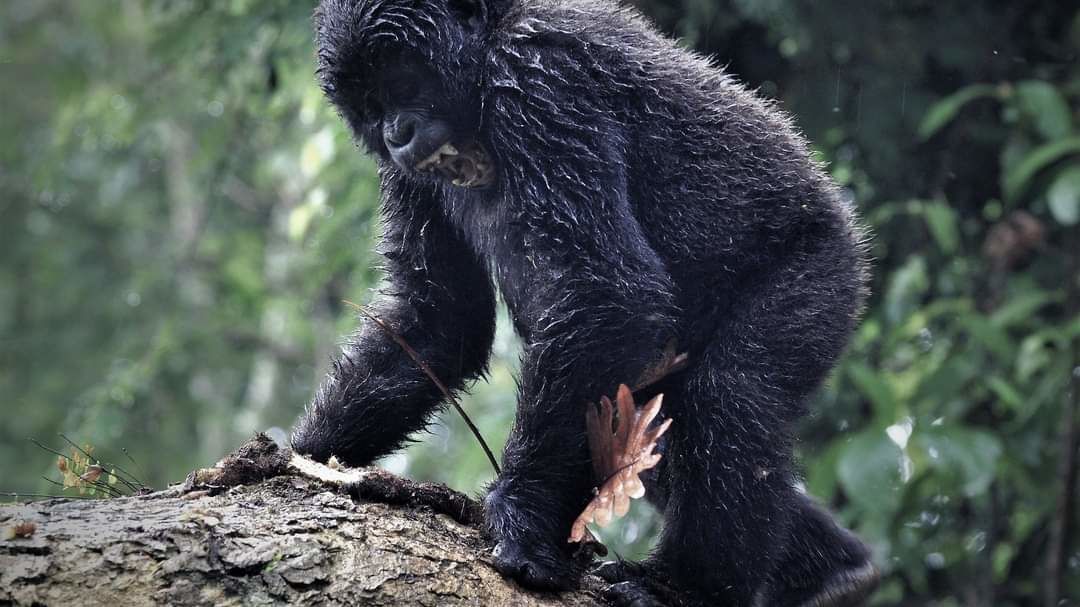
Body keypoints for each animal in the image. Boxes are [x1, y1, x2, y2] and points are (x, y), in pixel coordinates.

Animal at [293, 1, 876, 600]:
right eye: (370, 107)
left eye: (401, 82)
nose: (396, 131)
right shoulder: (407, 176)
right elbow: (441, 320)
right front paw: (307, 456)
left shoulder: (540, 87)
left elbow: (608, 290)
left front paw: (522, 518)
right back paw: (833, 569)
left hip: (820, 274)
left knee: (733, 394)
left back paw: (681, 586)